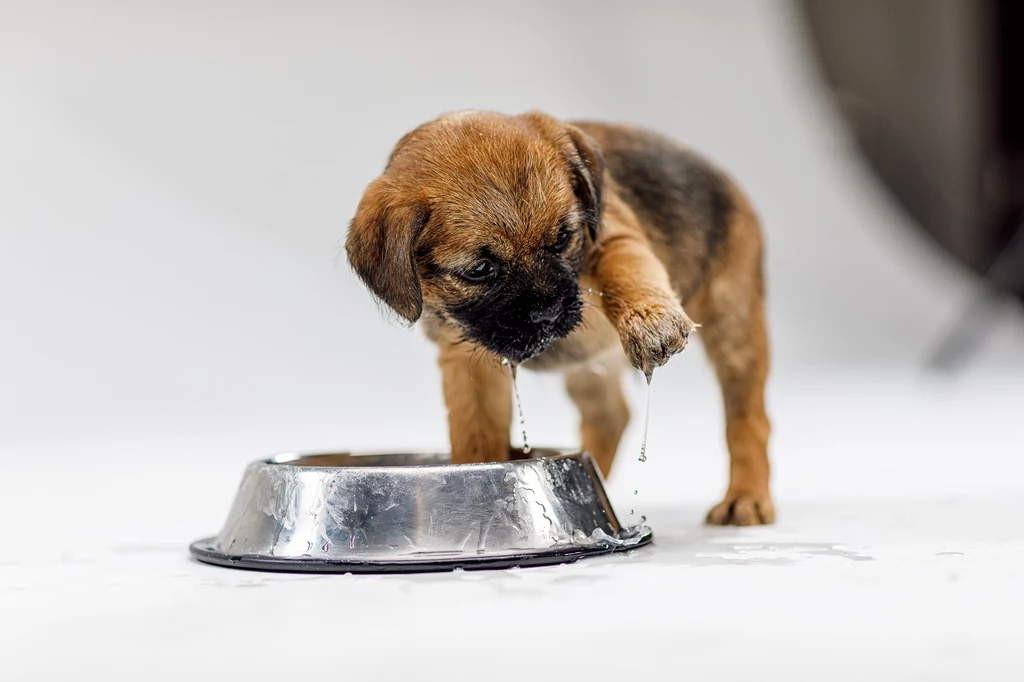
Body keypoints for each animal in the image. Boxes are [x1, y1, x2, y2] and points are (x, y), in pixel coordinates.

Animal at [348, 110, 770, 524]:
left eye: (563, 238)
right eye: (480, 269)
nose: (549, 312)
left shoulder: (614, 237)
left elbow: (626, 272)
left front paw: (650, 320)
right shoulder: (470, 365)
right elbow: (476, 437)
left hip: (733, 330)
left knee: (747, 418)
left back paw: (745, 497)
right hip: (587, 373)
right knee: (611, 415)